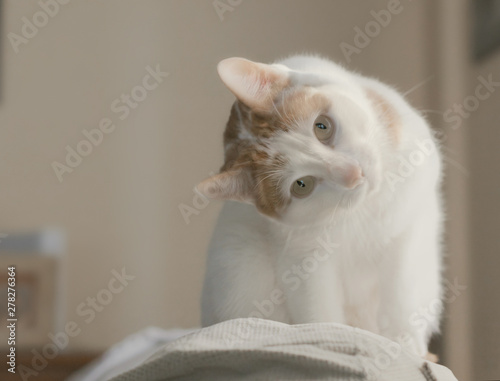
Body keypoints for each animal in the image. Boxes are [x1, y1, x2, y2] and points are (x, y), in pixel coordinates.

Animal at [197, 54, 444, 356]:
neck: (367, 206)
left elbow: (401, 296)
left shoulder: (407, 235)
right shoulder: (304, 262)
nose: (354, 174)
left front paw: (404, 346)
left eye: (321, 126)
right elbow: (321, 315)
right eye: (302, 185)